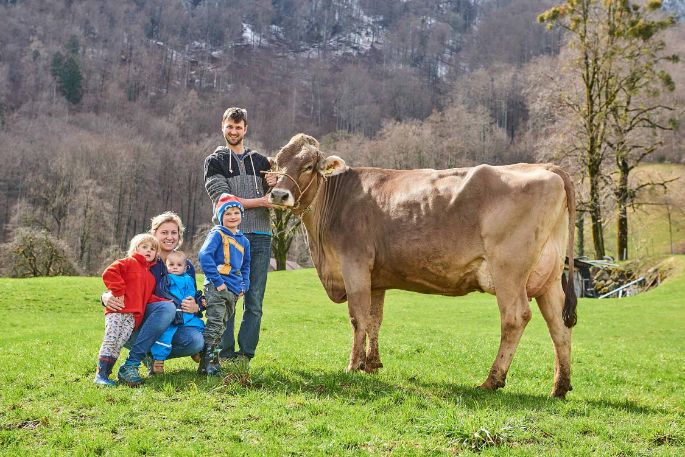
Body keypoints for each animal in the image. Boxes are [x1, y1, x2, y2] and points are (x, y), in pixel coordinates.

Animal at [267, 133, 578, 398]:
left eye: (308, 166)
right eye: (278, 163)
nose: (278, 195)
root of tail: (547, 167)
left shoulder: (354, 264)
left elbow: (358, 318)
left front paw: (353, 366)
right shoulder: (376, 277)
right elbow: (375, 319)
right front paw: (372, 364)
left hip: (508, 271)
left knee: (515, 318)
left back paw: (492, 380)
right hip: (548, 278)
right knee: (558, 324)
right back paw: (559, 387)